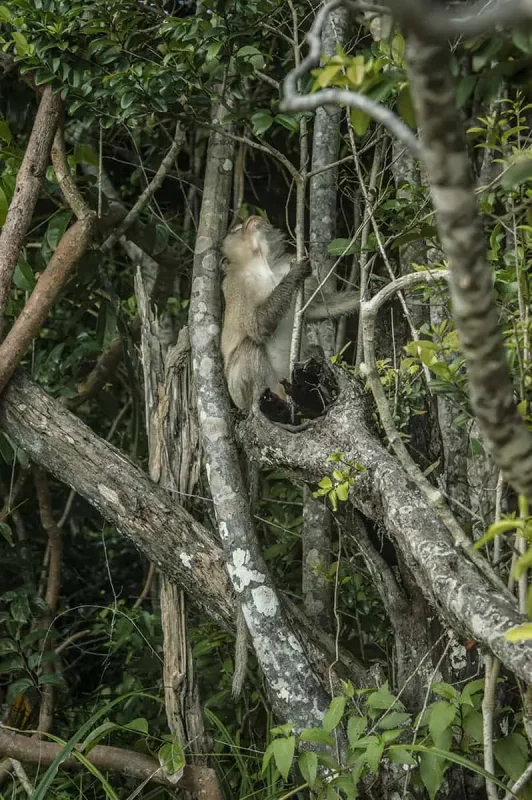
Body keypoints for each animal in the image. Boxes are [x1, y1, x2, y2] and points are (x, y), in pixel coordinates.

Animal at [221, 216, 360, 411]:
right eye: (237, 228)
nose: (250, 219)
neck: (261, 262)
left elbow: (313, 310)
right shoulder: (237, 285)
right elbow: (256, 327)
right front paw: (296, 272)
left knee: (314, 352)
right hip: (238, 391)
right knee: (250, 345)